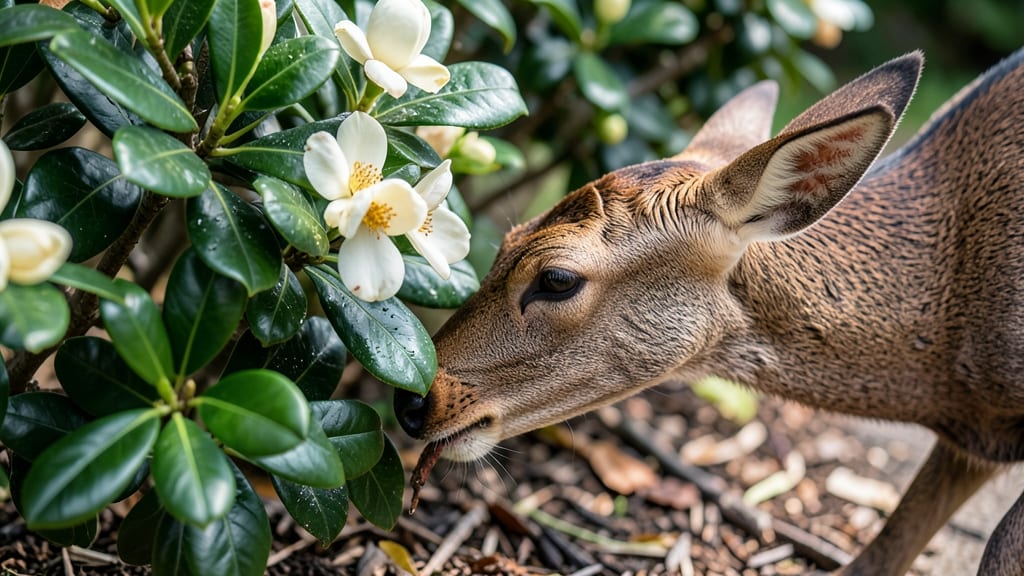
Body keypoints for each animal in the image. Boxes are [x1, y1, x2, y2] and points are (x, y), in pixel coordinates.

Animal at [393, 48, 1024, 575]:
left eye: (556, 278)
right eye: (507, 240)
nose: (412, 400)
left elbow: (994, 548)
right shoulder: (970, 444)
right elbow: (886, 548)